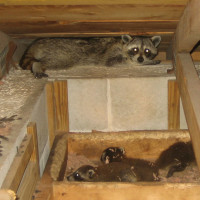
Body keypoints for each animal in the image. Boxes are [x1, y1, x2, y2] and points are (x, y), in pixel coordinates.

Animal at [19, 34, 161, 77]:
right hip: (61, 53)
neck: (123, 44)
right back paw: (37, 65)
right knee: (57, 61)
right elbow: (115, 62)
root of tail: (39, 41)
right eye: (135, 49)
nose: (141, 59)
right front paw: (146, 63)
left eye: (147, 51)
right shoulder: (113, 53)